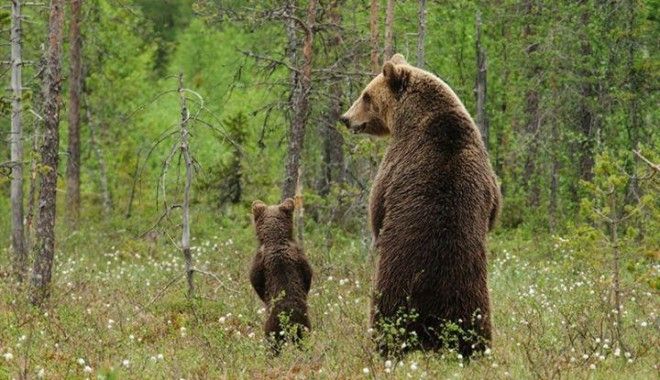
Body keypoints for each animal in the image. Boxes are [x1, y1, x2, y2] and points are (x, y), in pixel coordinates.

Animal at [249, 199, 314, 350]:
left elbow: (255, 280)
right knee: (304, 340)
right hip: (303, 325)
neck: (275, 239)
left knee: (273, 343)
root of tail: (288, 319)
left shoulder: (259, 260)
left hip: (272, 326)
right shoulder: (300, 255)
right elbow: (308, 273)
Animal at [340, 52, 500, 356]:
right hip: (472, 294)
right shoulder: (485, 171)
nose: (345, 118)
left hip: (395, 284)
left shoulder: (396, 160)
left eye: (366, 95)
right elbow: (495, 207)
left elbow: (377, 205)